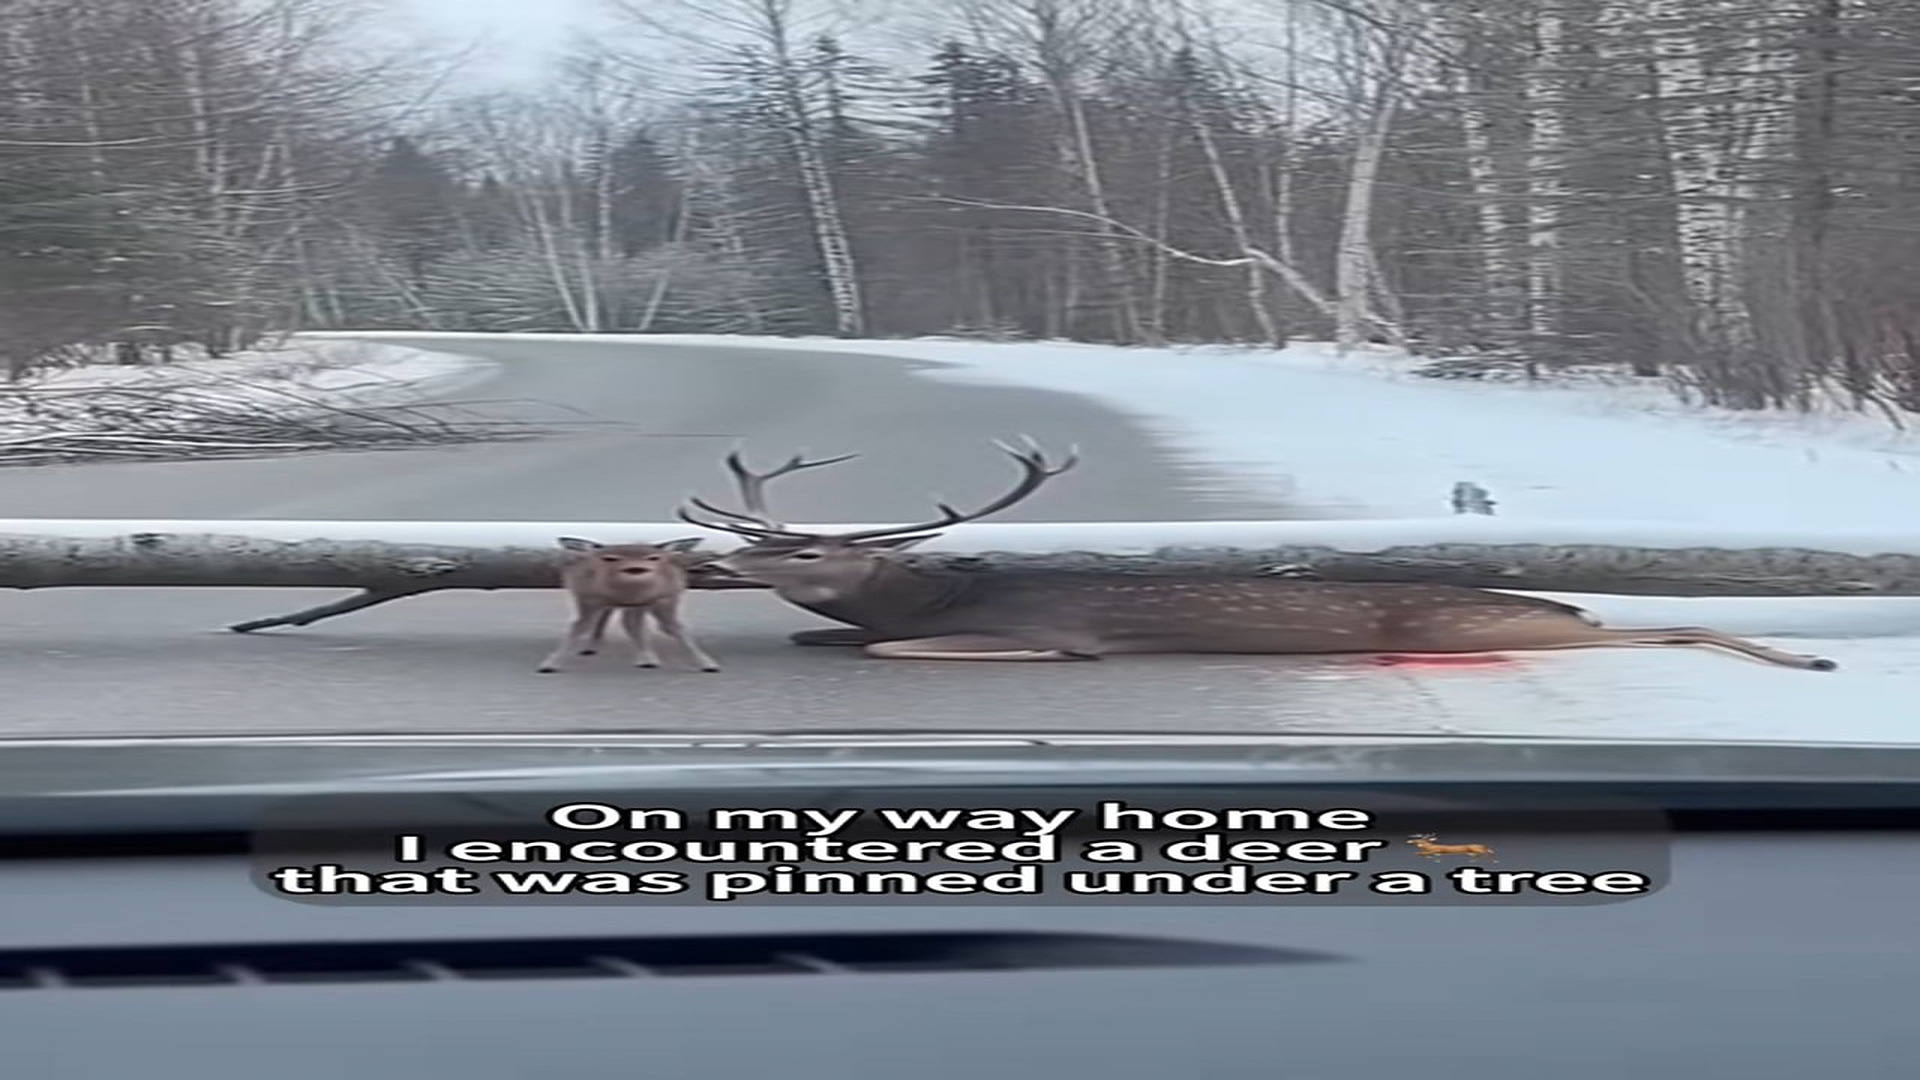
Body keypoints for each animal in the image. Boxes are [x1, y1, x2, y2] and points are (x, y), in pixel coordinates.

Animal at [536, 537, 721, 675]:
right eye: (610, 558)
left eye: (654, 558)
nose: (635, 568)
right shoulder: (588, 599)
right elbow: (577, 628)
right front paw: (548, 665)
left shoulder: (665, 599)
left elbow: (674, 629)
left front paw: (708, 664)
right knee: (619, 621)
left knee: (631, 623)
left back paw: (646, 658)